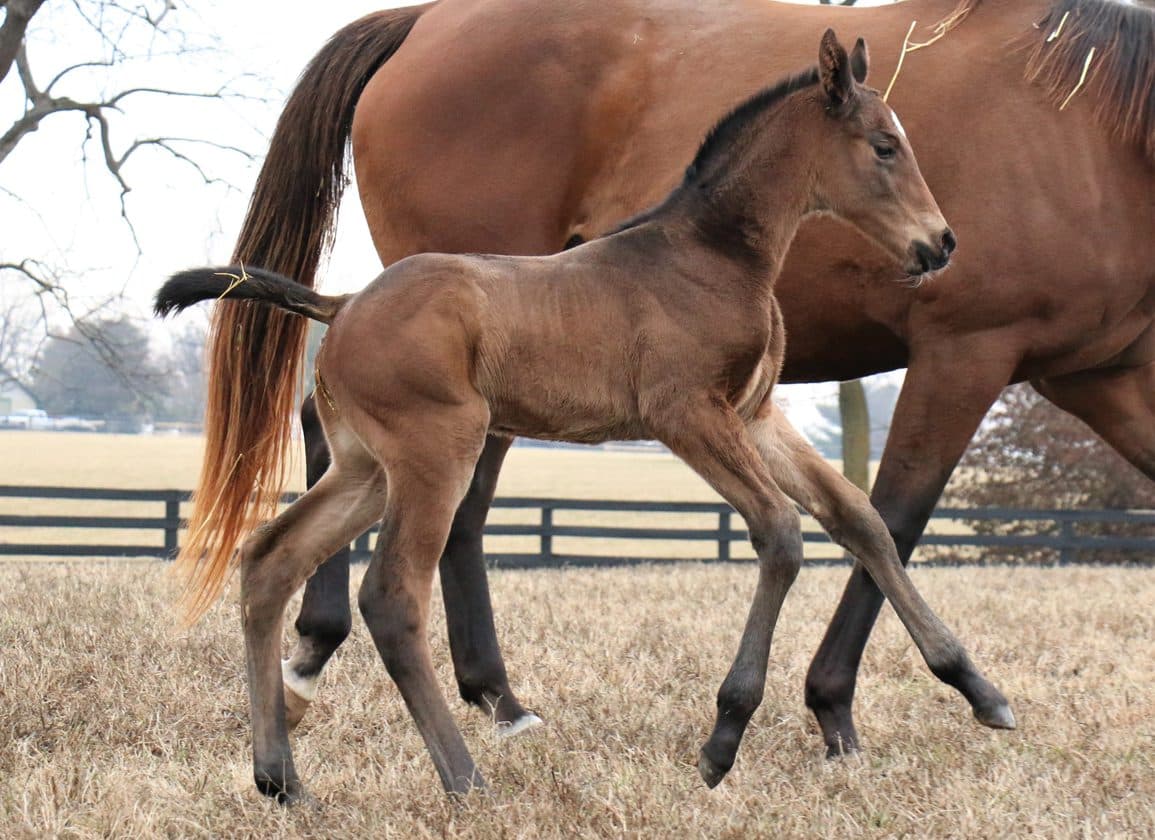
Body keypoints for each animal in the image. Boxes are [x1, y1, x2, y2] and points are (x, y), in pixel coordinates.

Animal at [195, 0, 1155, 759]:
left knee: (303, 516)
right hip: (448, 434)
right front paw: (765, 721)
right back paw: (421, 703)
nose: (941, 245)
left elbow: (859, 522)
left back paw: (339, 709)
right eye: (886, 146)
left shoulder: (765, 411)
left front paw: (971, 687)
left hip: (407, 448)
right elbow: (811, 528)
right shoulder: (724, 404)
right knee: (406, 559)